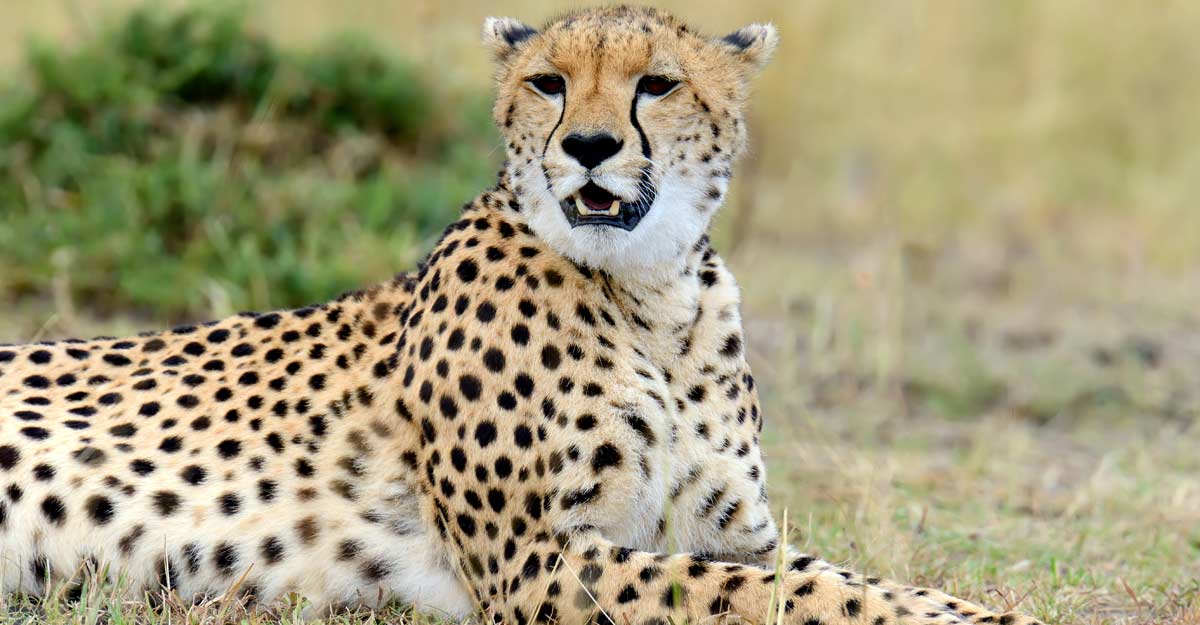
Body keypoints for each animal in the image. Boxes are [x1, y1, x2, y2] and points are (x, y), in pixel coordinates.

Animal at [0, 6, 1044, 625]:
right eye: (549, 82)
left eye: (657, 82)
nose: (588, 145)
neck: (651, 293)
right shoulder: (535, 559)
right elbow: (759, 590)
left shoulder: (732, 527)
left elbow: (829, 576)